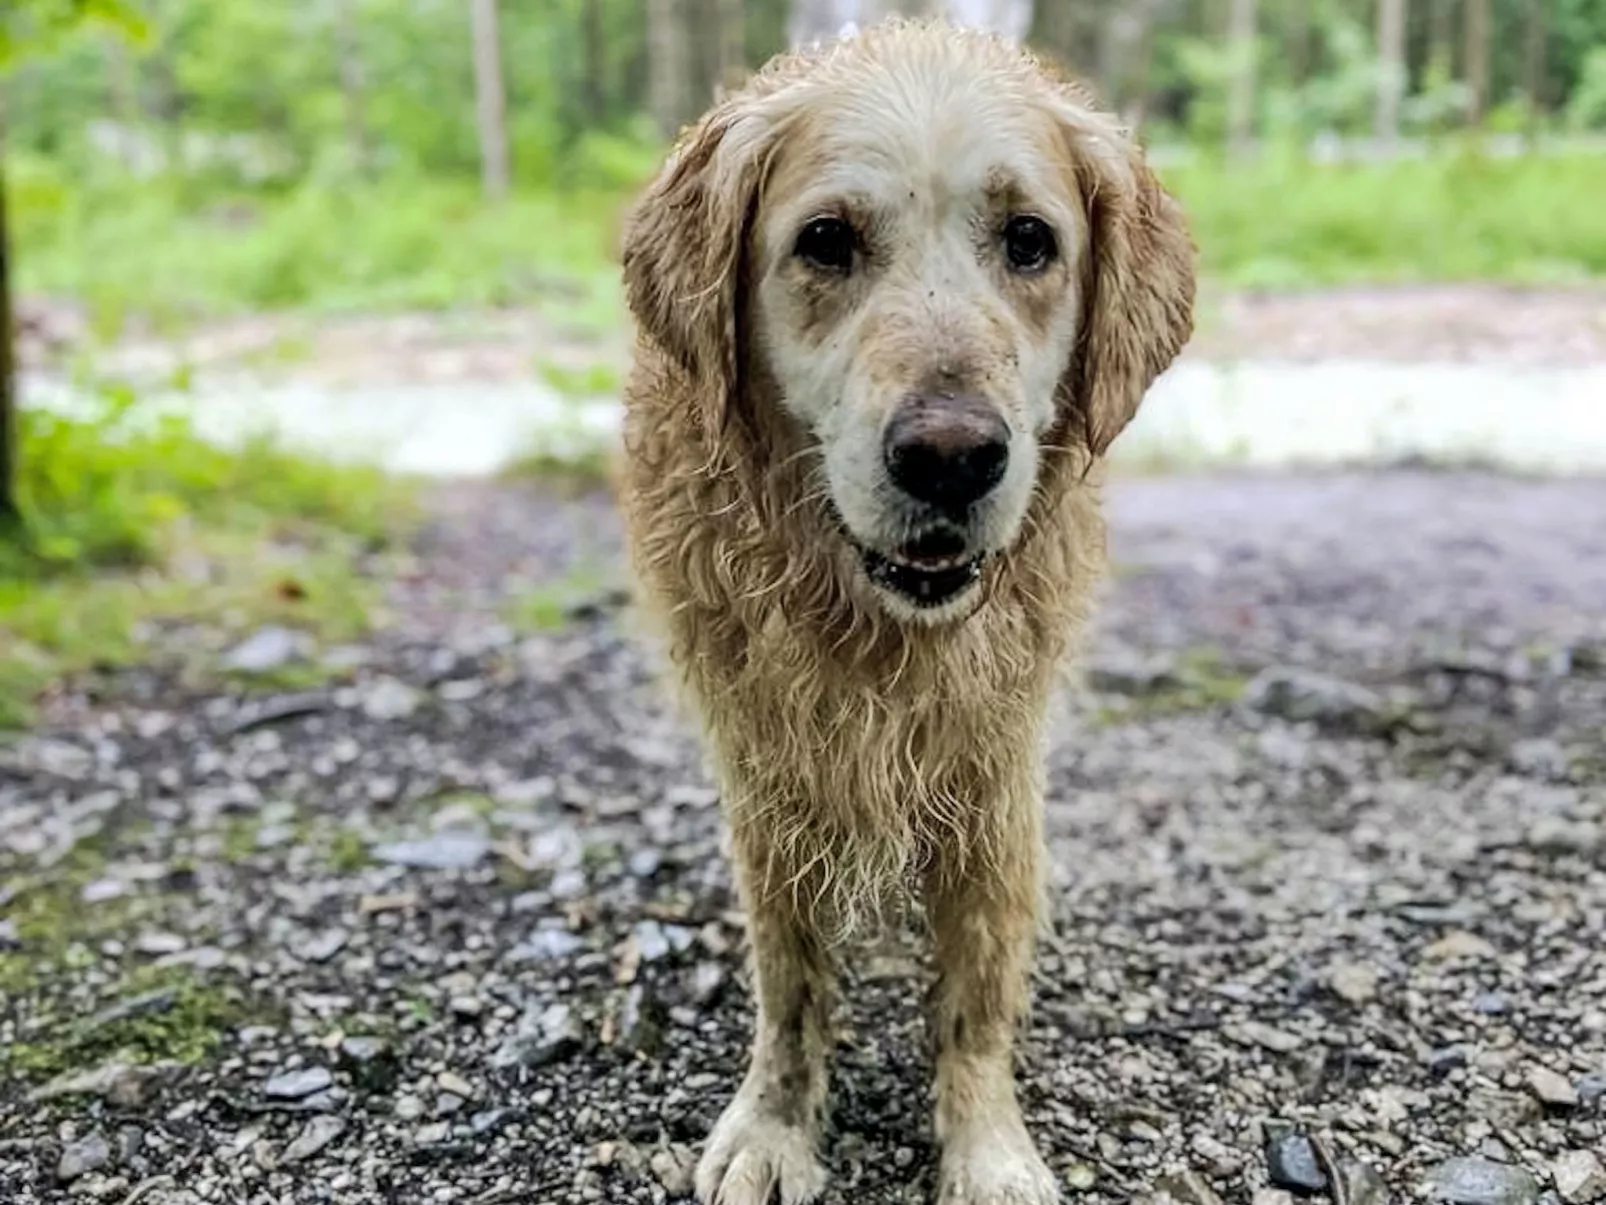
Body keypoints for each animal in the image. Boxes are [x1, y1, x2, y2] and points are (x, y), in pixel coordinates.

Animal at [613, 18, 1194, 1205]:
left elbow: (976, 998)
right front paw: (776, 1126)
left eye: (1030, 240)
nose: (952, 457)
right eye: (827, 241)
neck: (879, 631)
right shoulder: (769, 771)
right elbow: (789, 984)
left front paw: (988, 1147)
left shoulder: (992, 771)